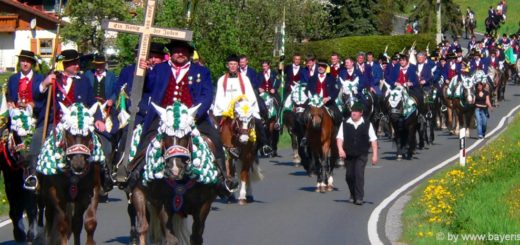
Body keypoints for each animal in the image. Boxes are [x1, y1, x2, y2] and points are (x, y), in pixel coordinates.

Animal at [0, 106, 38, 242]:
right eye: (15, 134)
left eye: (31, 133)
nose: (25, 158)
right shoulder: (10, 182)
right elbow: (15, 210)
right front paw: (19, 234)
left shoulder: (30, 180)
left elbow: (31, 207)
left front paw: (32, 234)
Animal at [36, 102, 104, 244]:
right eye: (68, 133)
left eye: (88, 133)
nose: (78, 165)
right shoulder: (55, 194)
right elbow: (63, 225)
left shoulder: (91, 191)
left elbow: (89, 223)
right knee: (49, 220)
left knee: (76, 224)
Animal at [129, 102, 222, 245]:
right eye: (164, 136)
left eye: (186, 136)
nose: (174, 169)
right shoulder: (163, 203)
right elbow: (171, 238)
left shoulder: (203, 206)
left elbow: (196, 237)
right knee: (143, 225)